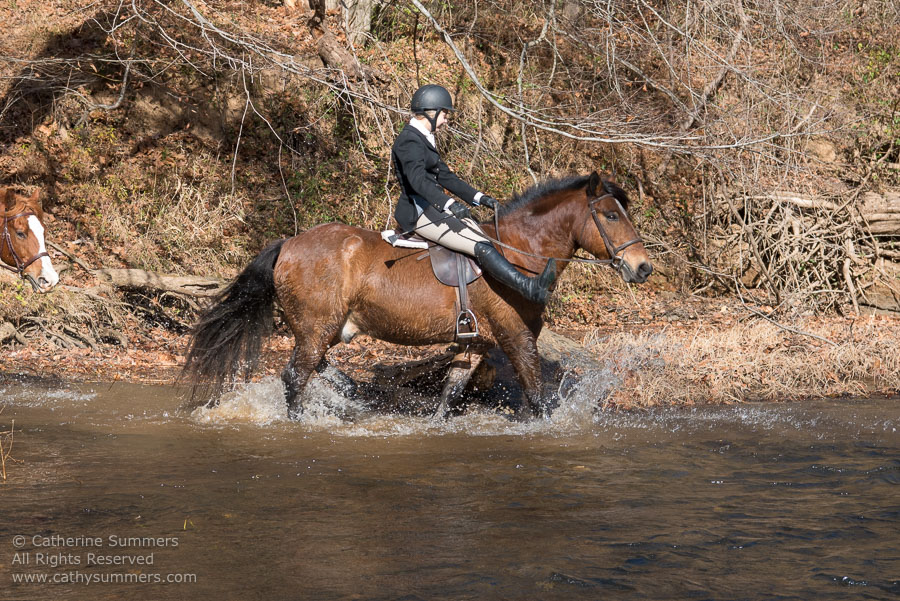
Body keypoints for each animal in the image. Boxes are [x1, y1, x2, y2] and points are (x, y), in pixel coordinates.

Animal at [185, 171, 648, 418]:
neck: (519, 253)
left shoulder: (475, 344)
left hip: (326, 327)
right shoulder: (517, 337)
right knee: (296, 376)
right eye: (610, 215)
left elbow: (449, 397)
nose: (643, 267)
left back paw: (353, 391)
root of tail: (290, 243)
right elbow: (536, 396)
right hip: (317, 325)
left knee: (314, 367)